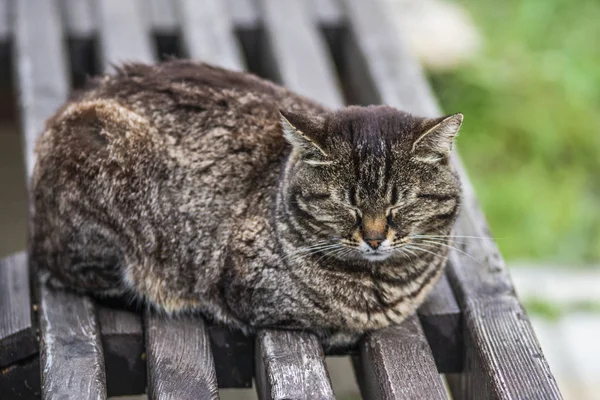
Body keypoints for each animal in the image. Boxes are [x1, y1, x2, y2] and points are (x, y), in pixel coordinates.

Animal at [31, 60, 464, 350]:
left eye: (400, 203)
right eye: (347, 204)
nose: (374, 238)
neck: (391, 285)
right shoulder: (254, 295)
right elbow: (327, 324)